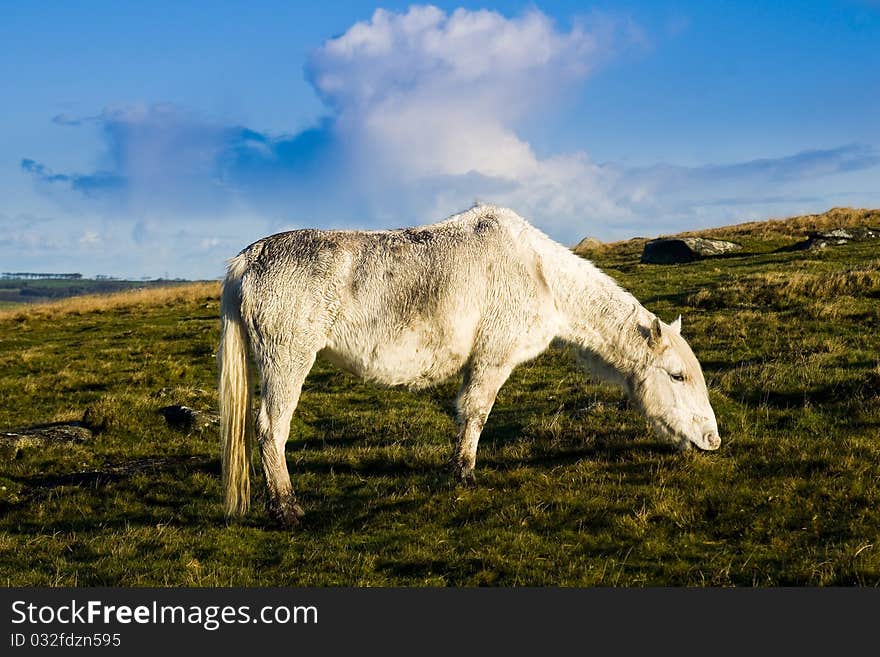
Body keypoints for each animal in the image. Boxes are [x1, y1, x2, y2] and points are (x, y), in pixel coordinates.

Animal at [217, 208, 720, 524]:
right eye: (677, 376)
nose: (712, 440)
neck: (539, 274)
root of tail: (247, 260)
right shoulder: (493, 358)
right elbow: (477, 413)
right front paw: (463, 475)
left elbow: (465, 414)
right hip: (287, 359)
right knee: (271, 429)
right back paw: (286, 510)